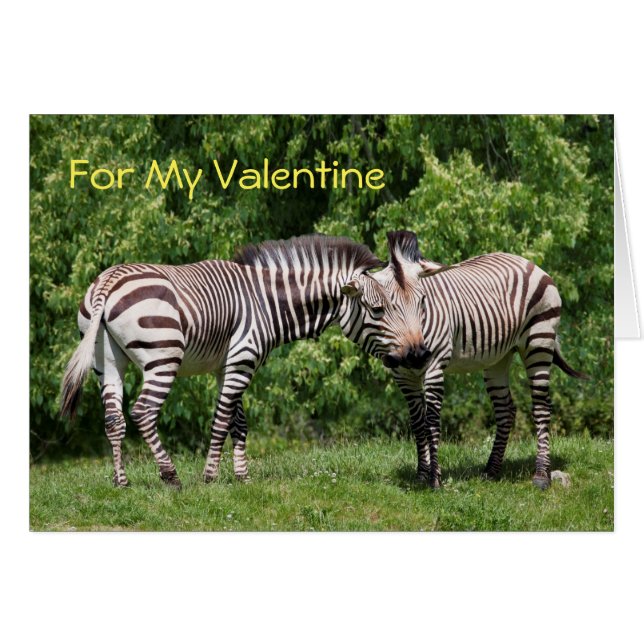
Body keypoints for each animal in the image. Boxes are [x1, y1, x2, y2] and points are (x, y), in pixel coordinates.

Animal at [60, 234, 432, 488]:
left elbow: (238, 422)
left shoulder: (229, 363)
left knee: (114, 418)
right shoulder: (243, 358)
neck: (268, 301)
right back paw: (171, 476)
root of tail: (108, 282)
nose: (416, 354)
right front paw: (210, 476)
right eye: (379, 310)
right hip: (163, 356)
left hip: (107, 361)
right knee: (142, 412)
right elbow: (222, 420)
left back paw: (121, 481)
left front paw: (242, 477)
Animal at [373, 231, 588, 490]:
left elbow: (431, 420)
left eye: (422, 301)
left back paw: (541, 475)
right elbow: (417, 422)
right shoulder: (403, 375)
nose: (414, 355)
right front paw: (421, 476)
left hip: (539, 340)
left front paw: (434, 479)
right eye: (383, 308)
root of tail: (529, 263)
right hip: (498, 358)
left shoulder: (435, 363)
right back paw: (492, 470)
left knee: (541, 407)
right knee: (506, 409)